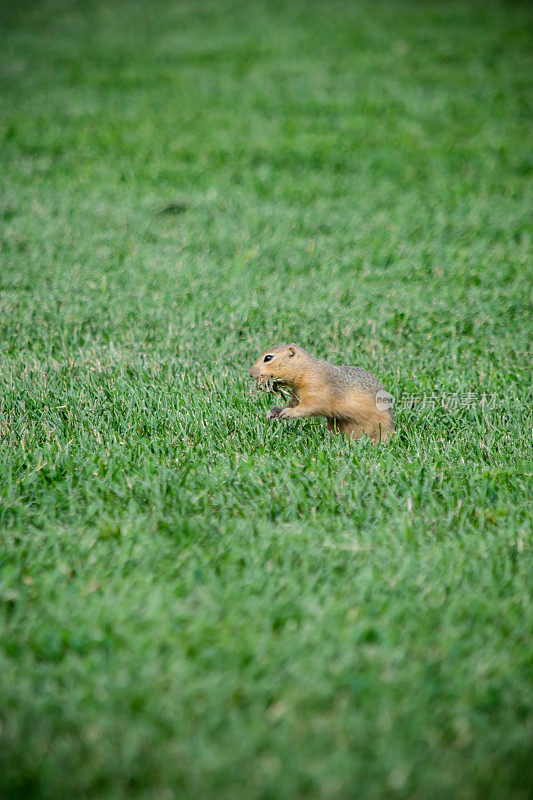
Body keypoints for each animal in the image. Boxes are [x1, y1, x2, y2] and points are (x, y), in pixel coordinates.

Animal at [247, 344, 392, 444]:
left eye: (268, 358)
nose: (250, 373)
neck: (306, 370)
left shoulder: (315, 390)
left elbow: (310, 406)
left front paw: (288, 413)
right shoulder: (296, 394)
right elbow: (292, 403)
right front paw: (273, 412)